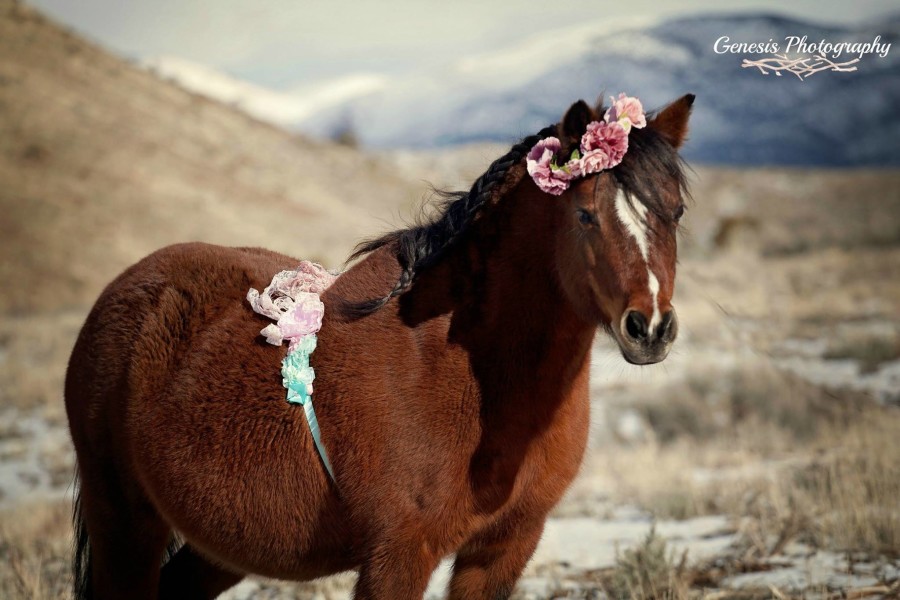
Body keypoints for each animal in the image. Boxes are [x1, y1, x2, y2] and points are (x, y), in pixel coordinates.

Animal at [64, 92, 694, 599]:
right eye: (585, 214)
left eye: (676, 211)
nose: (650, 328)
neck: (462, 373)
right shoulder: (399, 556)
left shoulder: (503, 548)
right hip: (125, 522)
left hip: (216, 546)